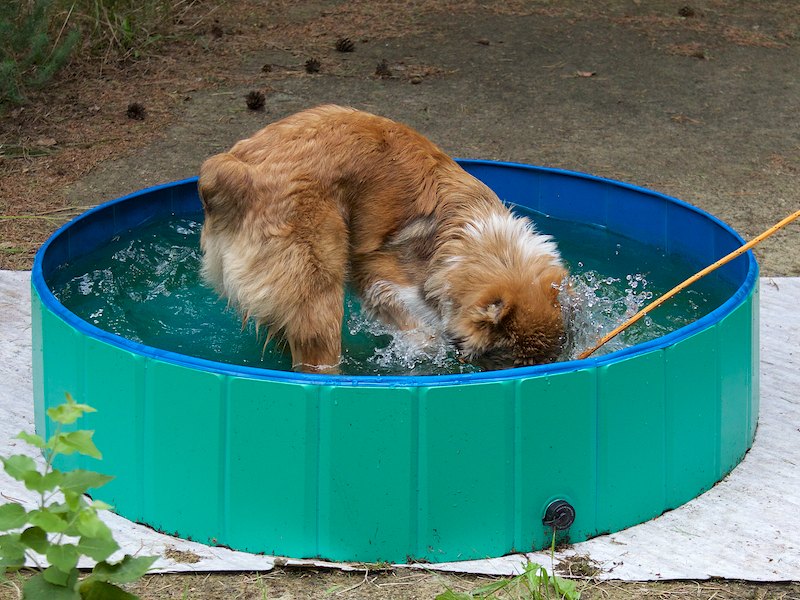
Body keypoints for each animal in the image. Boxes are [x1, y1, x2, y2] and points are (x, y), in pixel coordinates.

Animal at [198, 105, 567, 373]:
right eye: (505, 358)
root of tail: (237, 169)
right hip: (317, 292)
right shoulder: (380, 273)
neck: (478, 243)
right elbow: (424, 331)